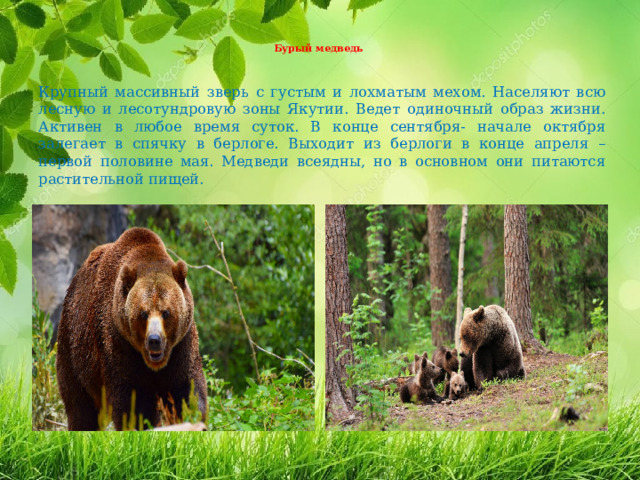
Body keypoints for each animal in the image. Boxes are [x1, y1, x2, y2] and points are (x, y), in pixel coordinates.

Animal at [56, 227, 208, 430]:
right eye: (143, 313)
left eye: (166, 312)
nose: (154, 340)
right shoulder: (119, 343)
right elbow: (134, 402)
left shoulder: (181, 346)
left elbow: (185, 391)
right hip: (75, 351)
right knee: (80, 407)